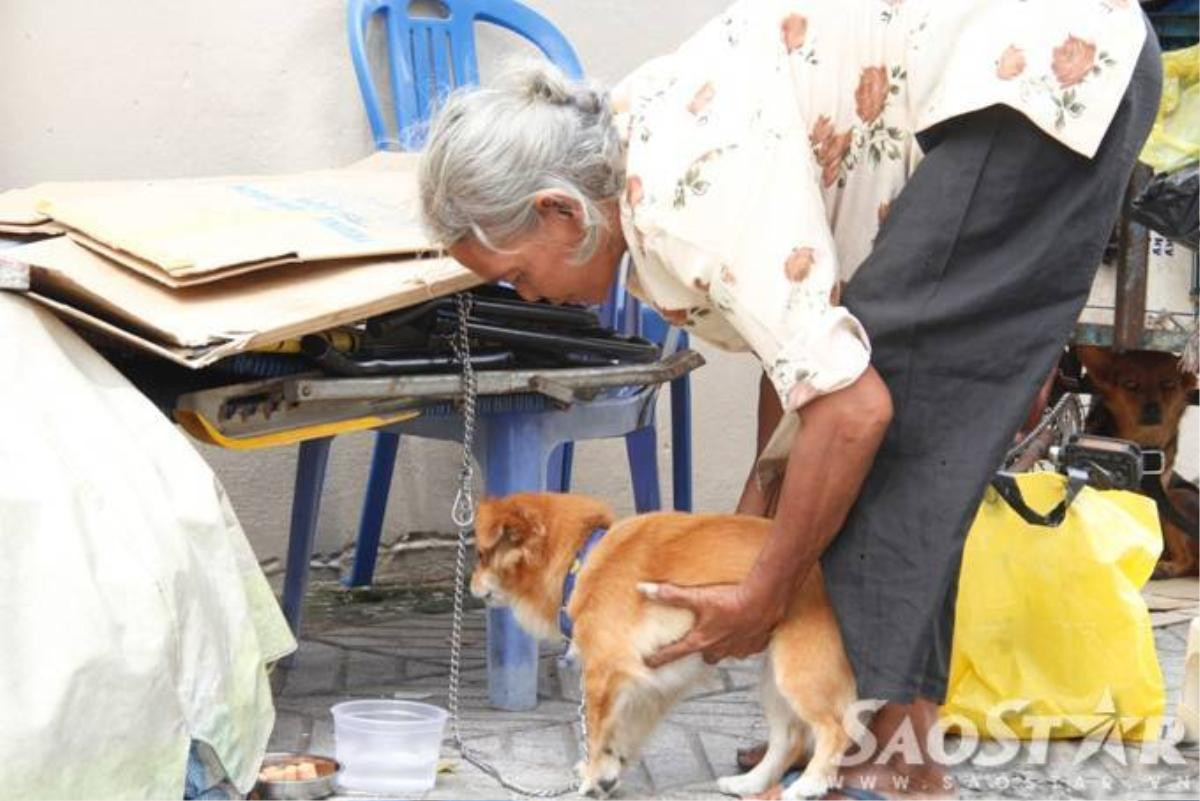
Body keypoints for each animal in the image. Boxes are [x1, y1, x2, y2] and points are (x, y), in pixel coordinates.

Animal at [472, 491, 859, 796]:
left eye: (479, 555)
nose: (470, 585)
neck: (580, 562)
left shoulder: (602, 675)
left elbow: (596, 733)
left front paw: (593, 776)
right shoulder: (648, 684)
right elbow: (620, 734)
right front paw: (607, 774)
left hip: (799, 669)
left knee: (836, 730)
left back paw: (809, 784)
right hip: (774, 676)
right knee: (789, 738)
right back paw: (749, 783)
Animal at [1075, 345, 1195, 575]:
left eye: (1168, 384)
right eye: (1130, 384)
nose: (1152, 408)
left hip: (1176, 496)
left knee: (1187, 559)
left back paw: (1166, 567)